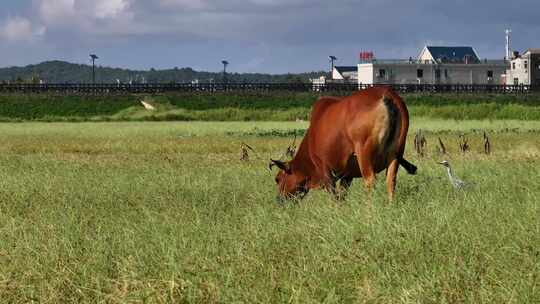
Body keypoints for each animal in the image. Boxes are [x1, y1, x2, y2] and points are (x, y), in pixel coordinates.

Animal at [270, 85, 418, 201]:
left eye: (278, 179)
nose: (279, 200)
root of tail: (387, 95)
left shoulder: (325, 168)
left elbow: (334, 196)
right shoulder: (347, 175)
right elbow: (342, 195)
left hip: (364, 152)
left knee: (370, 181)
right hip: (396, 152)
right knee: (391, 180)